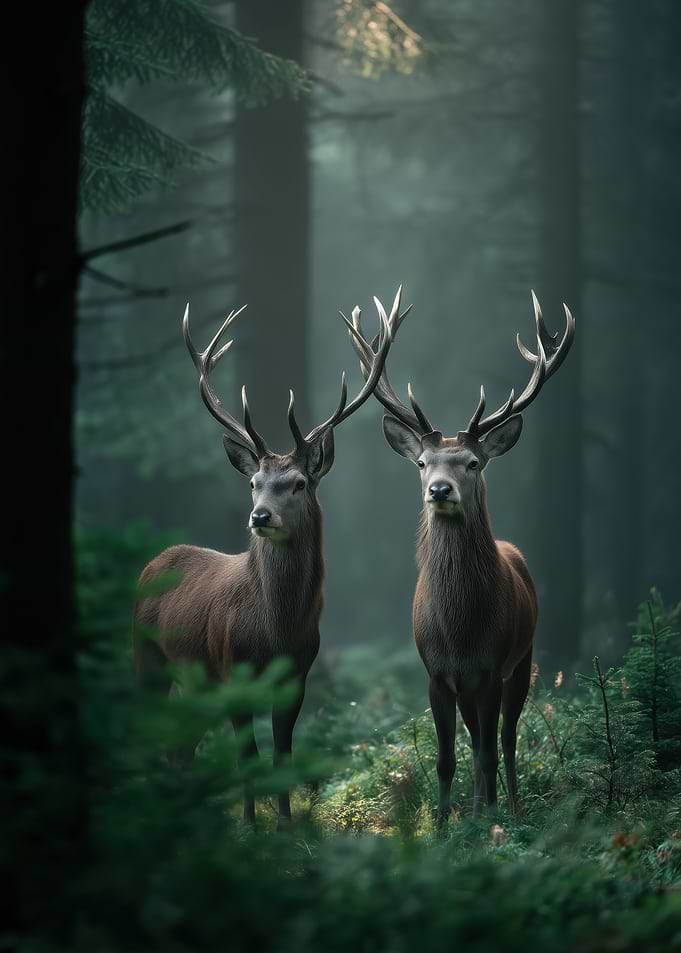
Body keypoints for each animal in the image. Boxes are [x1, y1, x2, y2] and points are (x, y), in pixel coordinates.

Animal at [133, 296, 397, 828]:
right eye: (253, 482)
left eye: (298, 482)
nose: (259, 516)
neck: (276, 629)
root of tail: (153, 563)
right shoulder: (231, 669)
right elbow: (247, 758)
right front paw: (254, 828)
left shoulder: (297, 677)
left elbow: (281, 757)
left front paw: (287, 828)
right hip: (146, 655)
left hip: (190, 680)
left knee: (179, 747)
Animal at [347, 289, 575, 827]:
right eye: (423, 462)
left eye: (472, 462)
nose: (439, 489)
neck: (461, 628)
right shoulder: (436, 674)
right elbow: (447, 757)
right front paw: (445, 825)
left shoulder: (492, 667)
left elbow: (491, 749)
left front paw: (491, 819)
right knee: (475, 741)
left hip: (524, 660)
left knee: (506, 740)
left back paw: (509, 805)